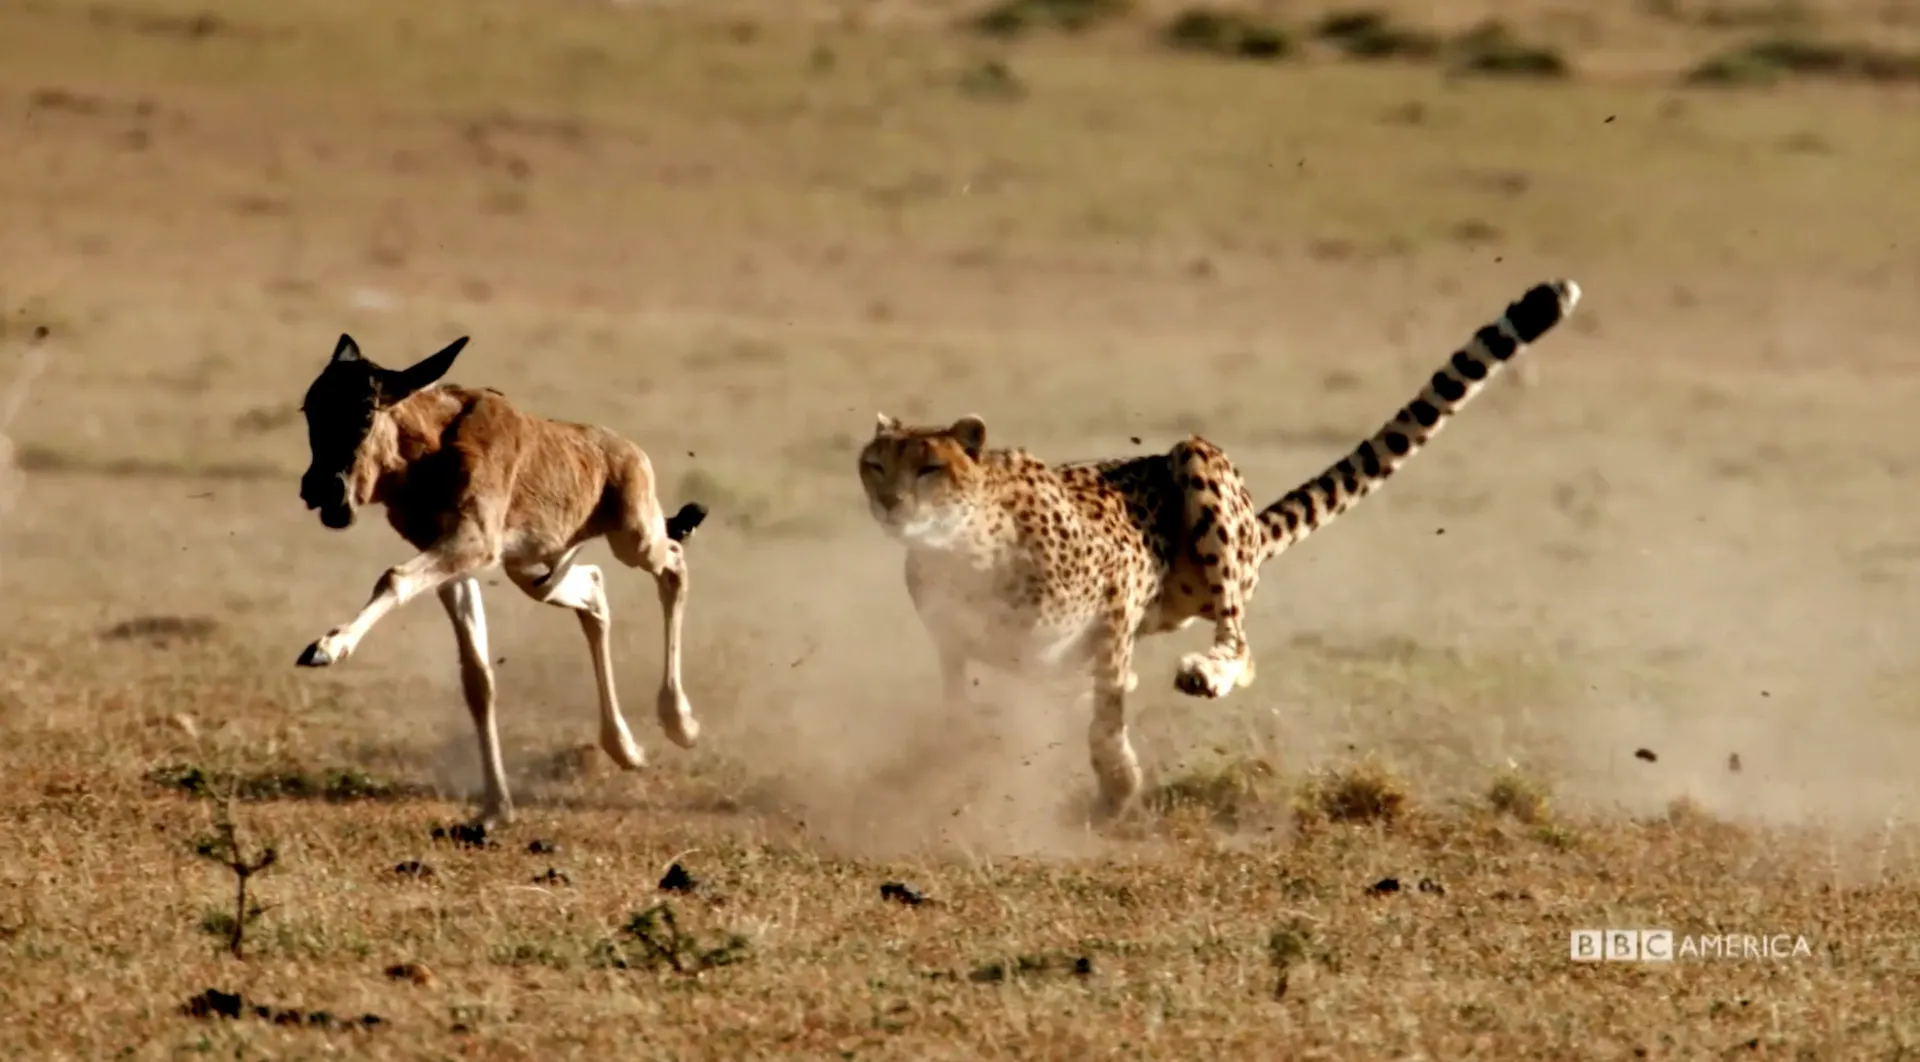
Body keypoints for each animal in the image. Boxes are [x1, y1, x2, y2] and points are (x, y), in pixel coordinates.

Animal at [856, 278, 1582, 820]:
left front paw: (1117, 787)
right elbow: (962, 708)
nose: (889, 502)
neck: (963, 550)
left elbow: (1106, 712)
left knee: (1241, 644)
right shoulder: (957, 643)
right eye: (874, 464)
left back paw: (1207, 672)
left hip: (1197, 461)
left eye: (930, 468)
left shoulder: (1118, 587)